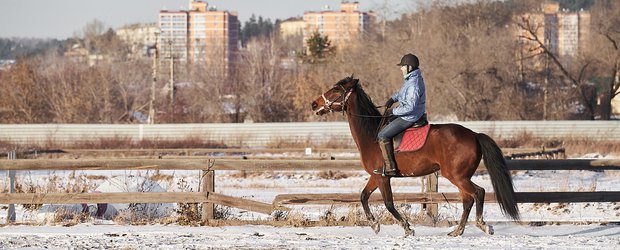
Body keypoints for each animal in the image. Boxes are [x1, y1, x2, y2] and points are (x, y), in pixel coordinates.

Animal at [310, 77, 520, 237]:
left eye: (335, 89)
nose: (314, 104)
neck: (371, 134)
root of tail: (474, 135)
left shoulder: (383, 178)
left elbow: (388, 203)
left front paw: (407, 228)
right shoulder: (376, 175)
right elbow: (363, 196)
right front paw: (374, 224)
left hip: (457, 176)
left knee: (478, 193)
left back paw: (483, 226)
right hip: (460, 177)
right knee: (468, 199)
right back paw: (457, 231)